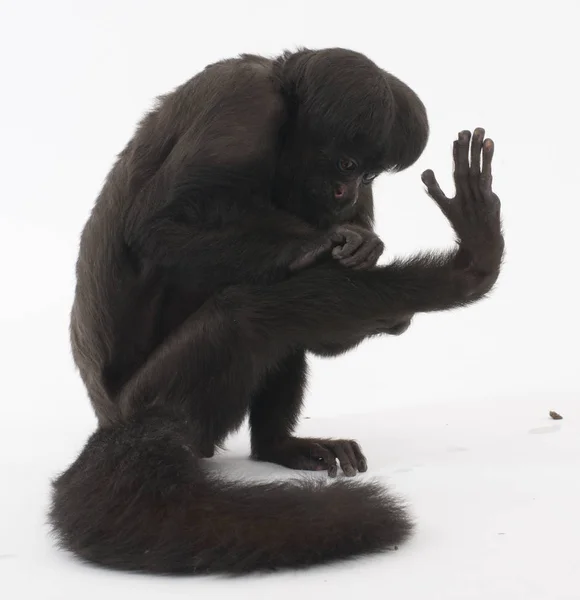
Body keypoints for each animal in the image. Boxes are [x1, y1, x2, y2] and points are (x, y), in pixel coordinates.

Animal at [48, 47, 502, 572]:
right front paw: (318, 246)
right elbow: (156, 227)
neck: (283, 93)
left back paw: (278, 446)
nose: (348, 191)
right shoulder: (245, 102)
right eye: (346, 163)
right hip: (150, 395)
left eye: (368, 175)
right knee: (246, 311)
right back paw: (467, 271)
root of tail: (113, 420)